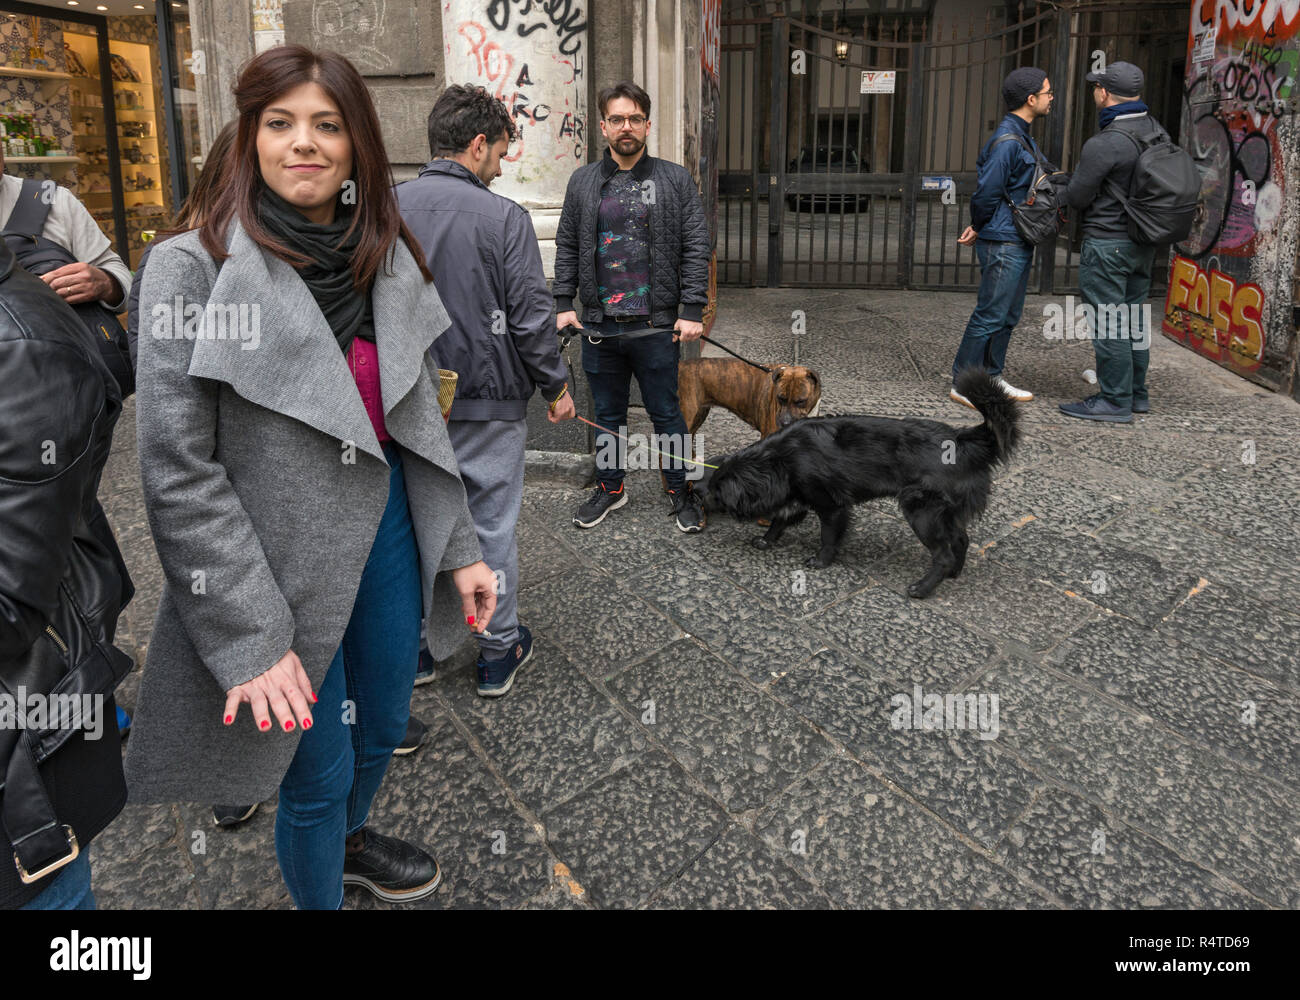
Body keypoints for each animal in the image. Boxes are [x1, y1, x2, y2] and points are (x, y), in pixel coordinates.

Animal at [702, 369, 1013, 598]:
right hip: (946, 513)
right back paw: (953, 574)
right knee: (961, 539)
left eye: (716, 493)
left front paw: (821, 561)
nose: (698, 495)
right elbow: (779, 521)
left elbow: (828, 537)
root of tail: (964, 439)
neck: (778, 459)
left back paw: (923, 588)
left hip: (922, 511)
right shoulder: (796, 497)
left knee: (944, 553)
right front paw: (767, 541)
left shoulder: (832, 507)